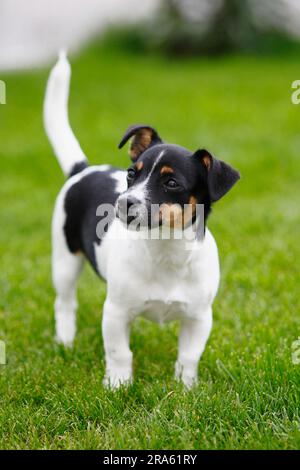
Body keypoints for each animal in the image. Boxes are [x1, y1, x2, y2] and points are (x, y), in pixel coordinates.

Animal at [43, 52, 240, 390]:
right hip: (65, 258)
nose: (123, 202)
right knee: (65, 303)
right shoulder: (116, 312)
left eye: (171, 183)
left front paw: (186, 389)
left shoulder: (199, 318)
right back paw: (65, 341)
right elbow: (119, 352)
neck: (165, 250)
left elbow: (189, 357)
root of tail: (83, 169)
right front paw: (117, 386)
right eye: (131, 174)